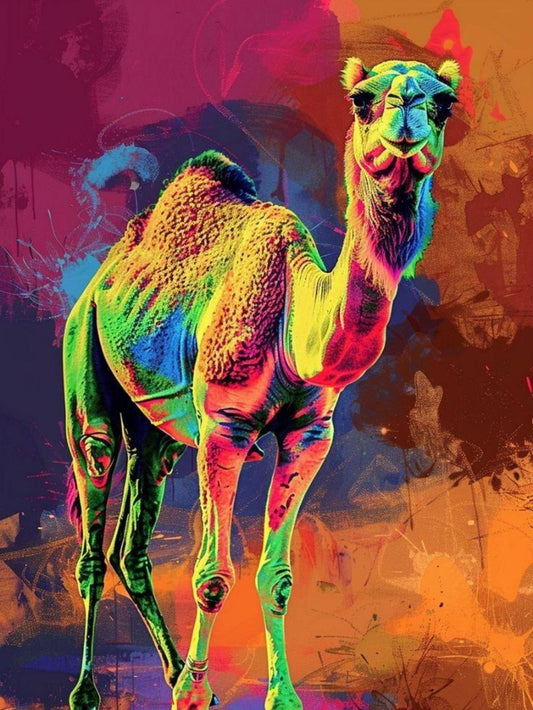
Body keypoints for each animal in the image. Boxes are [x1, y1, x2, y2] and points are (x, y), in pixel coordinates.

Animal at [63, 57, 461, 709]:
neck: (294, 324)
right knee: (94, 515)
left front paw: (281, 697)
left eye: (445, 102)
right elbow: (212, 576)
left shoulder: (310, 431)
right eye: (362, 99)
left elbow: (276, 577)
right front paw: (193, 697)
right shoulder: (225, 424)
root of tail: (103, 274)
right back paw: (89, 692)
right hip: (83, 353)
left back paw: (171, 670)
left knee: (133, 541)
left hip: (159, 435)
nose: (405, 108)